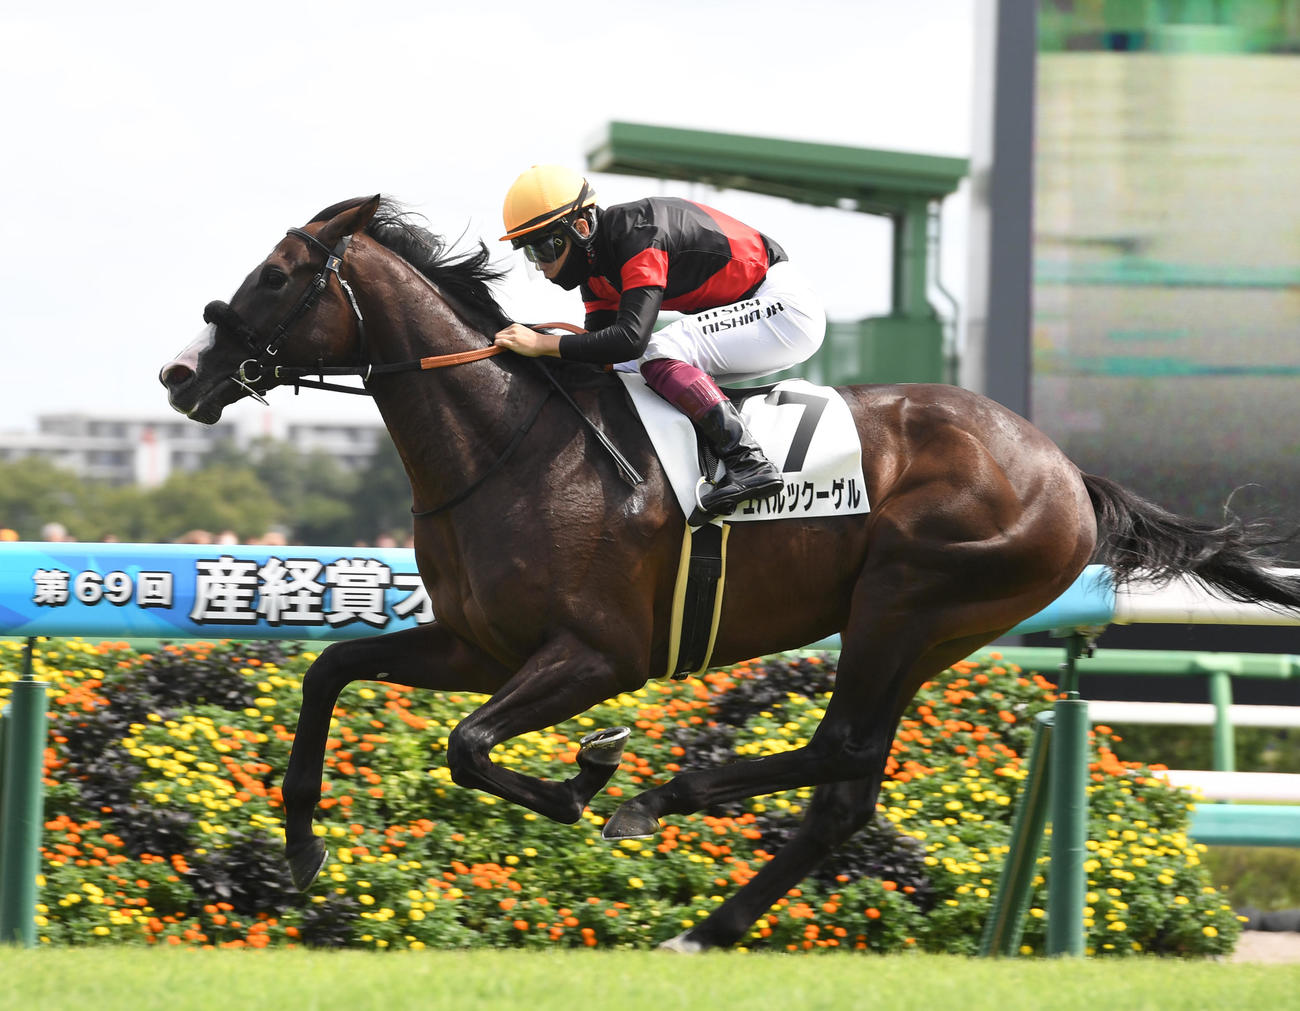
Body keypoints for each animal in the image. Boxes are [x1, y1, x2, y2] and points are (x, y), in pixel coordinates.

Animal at [160, 195, 1300, 952]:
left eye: (276, 275)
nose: (180, 374)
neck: (509, 443)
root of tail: (1064, 468)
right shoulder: (478, 642)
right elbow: (333, 671)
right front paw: (302, 850)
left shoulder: (600, 655)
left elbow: (468, 746)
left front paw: (587, 779)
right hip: (928, 629)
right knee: (847, 789)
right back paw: (704, 923)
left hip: (905, 599)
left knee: (842, 752)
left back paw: (667, 800)